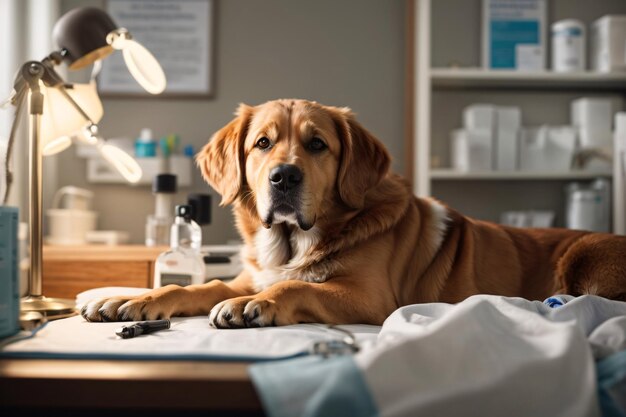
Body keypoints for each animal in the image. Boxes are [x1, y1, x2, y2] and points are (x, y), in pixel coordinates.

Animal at [80, 99, 620, 326]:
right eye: (262, 143)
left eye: (318, 144)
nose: (284, 178)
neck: (292, 243)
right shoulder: (246, 275)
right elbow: (195, 286)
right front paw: (129, 299)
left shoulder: (371, 298)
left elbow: (294, 286)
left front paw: (255, 306)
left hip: (586, 251)